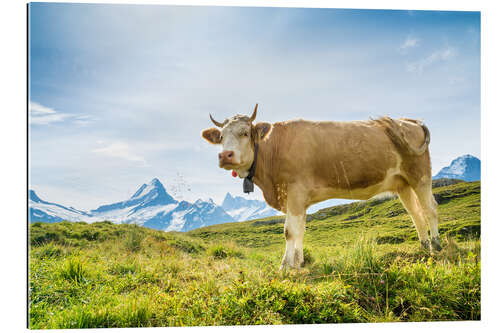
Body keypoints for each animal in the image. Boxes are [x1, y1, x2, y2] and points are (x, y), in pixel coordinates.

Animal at [201, 104, 440, 270]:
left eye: (244, 133)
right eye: (221, 136)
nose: (225, 155)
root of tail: (409, 121)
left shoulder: (295, 192)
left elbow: (289, 231)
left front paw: (285, 266)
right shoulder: (298, 199)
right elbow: (300, 230)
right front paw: (298, 262)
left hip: (420, 174)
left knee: (430, 209)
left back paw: (436, 245)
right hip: (402, 183)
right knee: (415, 214)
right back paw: (423, 246)